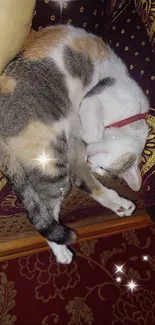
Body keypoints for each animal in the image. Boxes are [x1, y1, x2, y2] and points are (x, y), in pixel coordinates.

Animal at [0, 25, 144, 264]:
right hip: (51, 155)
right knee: (46, 207)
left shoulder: (78, 142)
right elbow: (92, 128)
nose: (92, 163)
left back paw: (120, 205)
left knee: (72, 186)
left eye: (102, 169)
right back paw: (62, 250)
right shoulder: (96, 98)